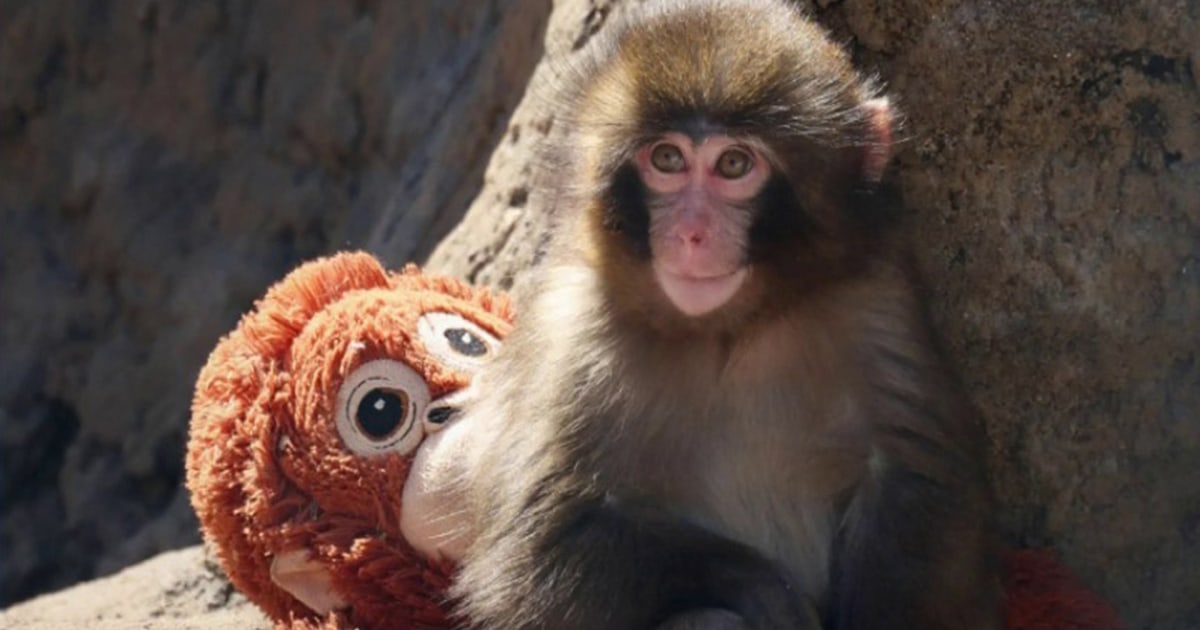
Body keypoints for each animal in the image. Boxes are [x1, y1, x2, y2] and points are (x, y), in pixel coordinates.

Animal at [423, 0, 1002, 628]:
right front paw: (761, 586)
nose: (692, 233)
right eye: (668, 159)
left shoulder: (875, 299)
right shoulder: (571, 333)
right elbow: (538, 553)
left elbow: (916, 482)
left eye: (733, 164)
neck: (728, 330)